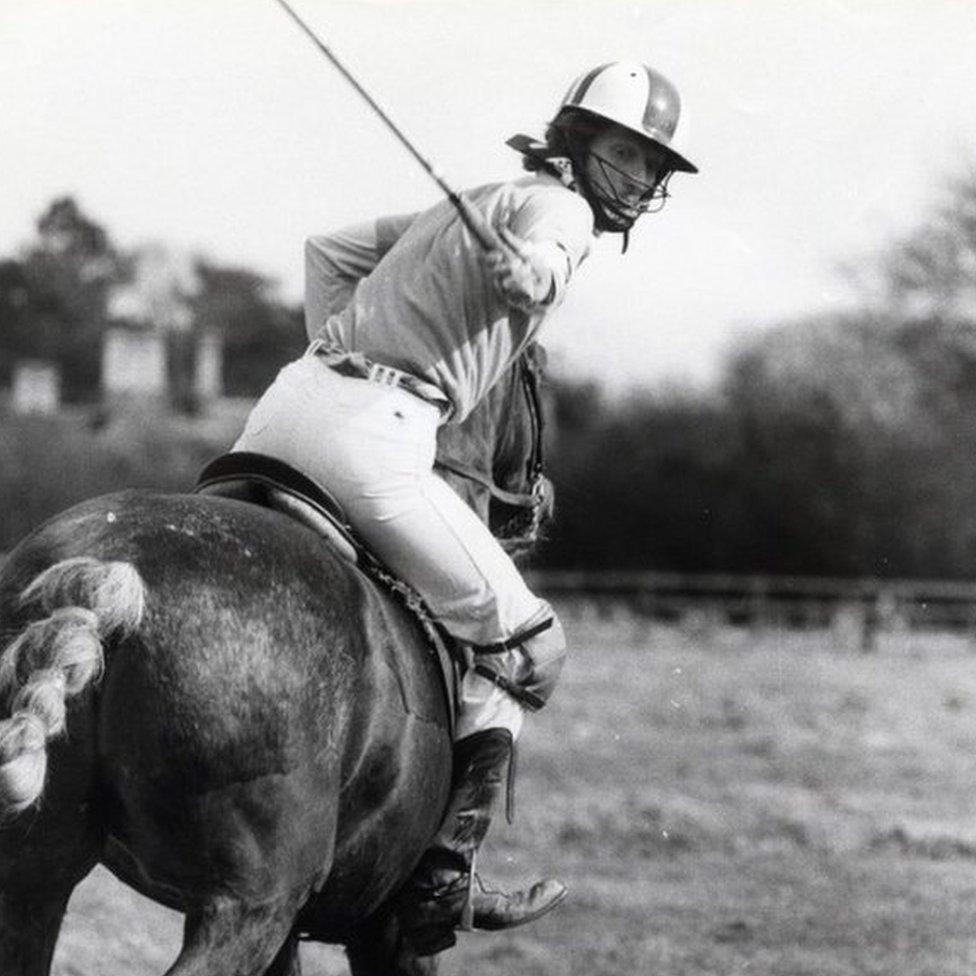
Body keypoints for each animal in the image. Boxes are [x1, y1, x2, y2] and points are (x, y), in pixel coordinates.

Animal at [0, 346, 552, 976]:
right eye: (536, 370)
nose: (537, 507)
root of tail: (111, 578)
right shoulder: (389, 929)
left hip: (34, 870)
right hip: (250, 902)